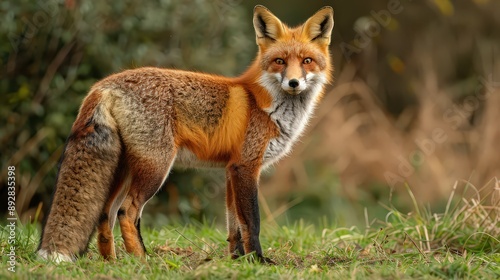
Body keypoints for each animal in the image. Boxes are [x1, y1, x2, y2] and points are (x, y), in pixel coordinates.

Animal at [39, 4, 334, 262]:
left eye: (307, 61)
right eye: (279, 61)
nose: (293, 83)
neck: (266, 105)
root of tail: (103, 85)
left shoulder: (230, 170)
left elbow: (234, 226)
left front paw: (237, 261)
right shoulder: (246, 167)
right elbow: (252, 222)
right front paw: (258, 260)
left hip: (123, 170)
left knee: (105, 214)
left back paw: (112, 263)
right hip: (156, 167)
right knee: (126, 212)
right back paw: (142, 261)